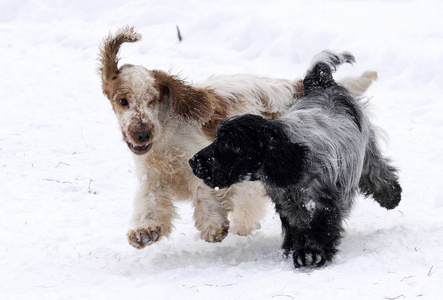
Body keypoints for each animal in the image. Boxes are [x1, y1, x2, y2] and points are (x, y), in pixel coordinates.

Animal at [97, 26, 378, 248]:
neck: (166, 137)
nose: (141, 133)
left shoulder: (203, 162)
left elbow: (205, 193)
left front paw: (214, 227)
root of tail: (296, 87)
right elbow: (151, 201)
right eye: (123, 101)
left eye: (153, 100)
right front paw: (144, 232)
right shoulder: (154, 177)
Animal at [189, 50, 404, 268]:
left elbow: (321, 227)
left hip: (368, 150)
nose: (193, 162)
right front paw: (295, 249)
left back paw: (392, 197)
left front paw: (311, 254)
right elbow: (297, 227)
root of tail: (322, 84)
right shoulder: (288, 204)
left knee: (378, 174)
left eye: (226, 144)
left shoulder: (326, 202)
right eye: (216, 138)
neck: (294, 159)